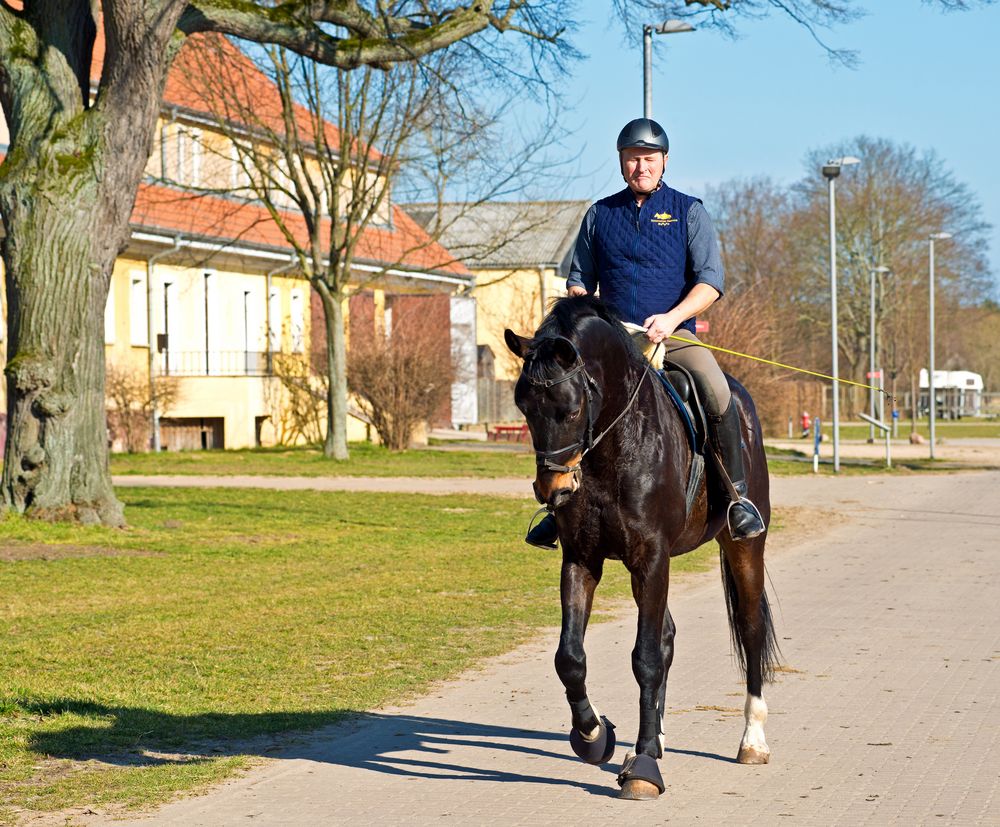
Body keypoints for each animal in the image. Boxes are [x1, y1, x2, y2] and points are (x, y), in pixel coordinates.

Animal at [504, 298, 776, 804]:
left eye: (571, 408)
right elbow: (570, 658)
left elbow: (645, 657)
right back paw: (657, 736)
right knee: (667, 635)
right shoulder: (582, 559)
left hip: (742, 547)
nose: (552, 489)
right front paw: (593, 737)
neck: (615, 445)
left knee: (750, 631)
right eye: (523, 406)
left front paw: (644, 768)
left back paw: (751, 740)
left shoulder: (652, 557)